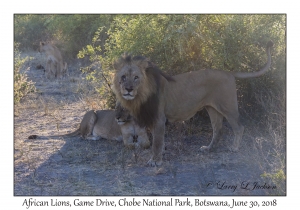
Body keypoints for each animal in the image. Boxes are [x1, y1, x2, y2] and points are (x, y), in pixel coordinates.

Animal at [112, 40, 274, 166]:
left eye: (136, 77)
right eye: (123, 77)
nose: (128, 89)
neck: (140, 95)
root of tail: (228, 72)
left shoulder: (159, 118)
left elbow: (157, 142)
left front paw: (155, 161)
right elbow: (157, 141)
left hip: (228, 107)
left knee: (239, 127)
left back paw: (234, 148)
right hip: (212, 108)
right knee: (218, 129)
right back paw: (208, 149)